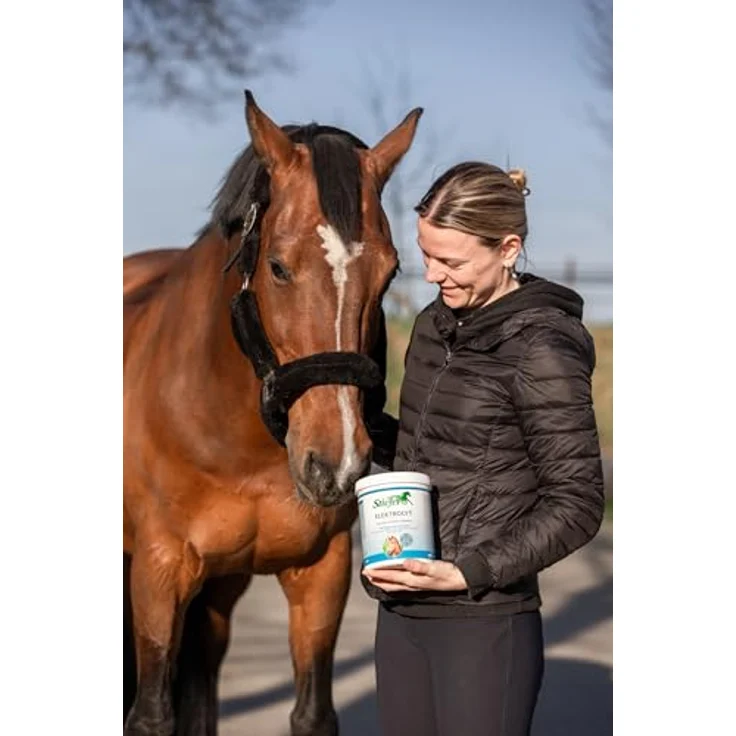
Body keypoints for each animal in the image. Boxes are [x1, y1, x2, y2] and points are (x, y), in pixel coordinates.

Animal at [123, 90, 422, 736]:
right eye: (279, 266)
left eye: (388, 272)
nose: (335, 464)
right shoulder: (158, 572)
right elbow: (152, 714)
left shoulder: (321, 575)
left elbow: (312, 713)